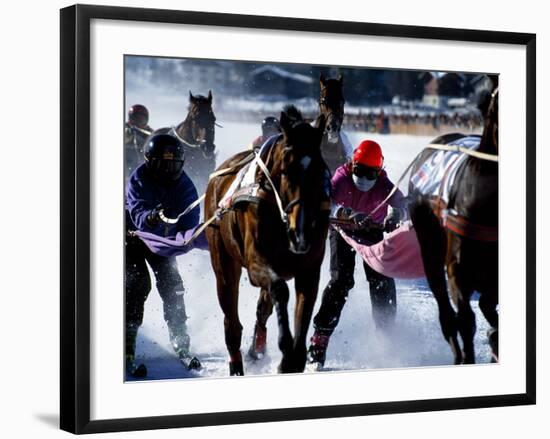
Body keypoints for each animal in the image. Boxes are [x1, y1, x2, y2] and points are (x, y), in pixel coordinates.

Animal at [205, 105, 330, 374]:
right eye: (286, 171)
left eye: (320, 171)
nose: (300, 231)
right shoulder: (256, 262)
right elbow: (279, 289)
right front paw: (285, 348)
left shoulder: (309, 266)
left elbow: (304, 304)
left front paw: (294, 357)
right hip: (222, 258)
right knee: (231, 320)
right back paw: (237, 363)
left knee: (263, 309)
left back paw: (257, 348)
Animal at [410, 76, 500, 364]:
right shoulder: (457, 269)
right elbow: (466, 320)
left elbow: (487, 307)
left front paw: (494, 338)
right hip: (428, 247)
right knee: (446, 313)